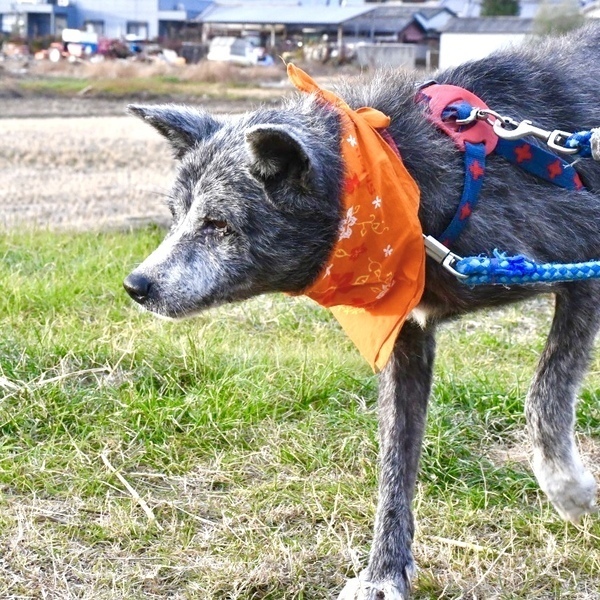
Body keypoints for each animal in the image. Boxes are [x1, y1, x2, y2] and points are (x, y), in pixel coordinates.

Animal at [123, 25, 600, 599]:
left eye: (219, 224)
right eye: (175, 216)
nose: (136, 285)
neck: (406, 175)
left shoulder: (583, 264)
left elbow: (545, 390)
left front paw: (567, 487)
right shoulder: (407, 337)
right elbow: (395, 464)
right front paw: (384, 572)